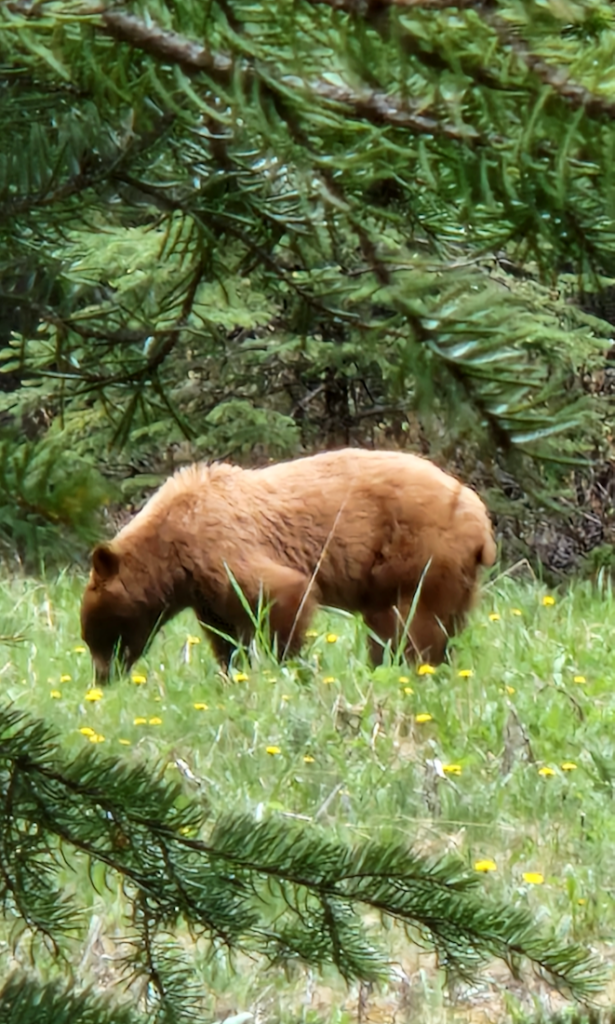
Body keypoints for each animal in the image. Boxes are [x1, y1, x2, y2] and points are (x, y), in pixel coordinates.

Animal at [81, 448, 496, 680]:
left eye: (97, 635)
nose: (103, 678)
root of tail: (481, 521)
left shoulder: (219, 545)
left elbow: (281, 594)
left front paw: (287, 665)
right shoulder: (205, 589)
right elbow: (224, 633)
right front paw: (232, 672)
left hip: (422, 556)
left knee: (413, 625)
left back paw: (411, 670)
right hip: (449, 576)